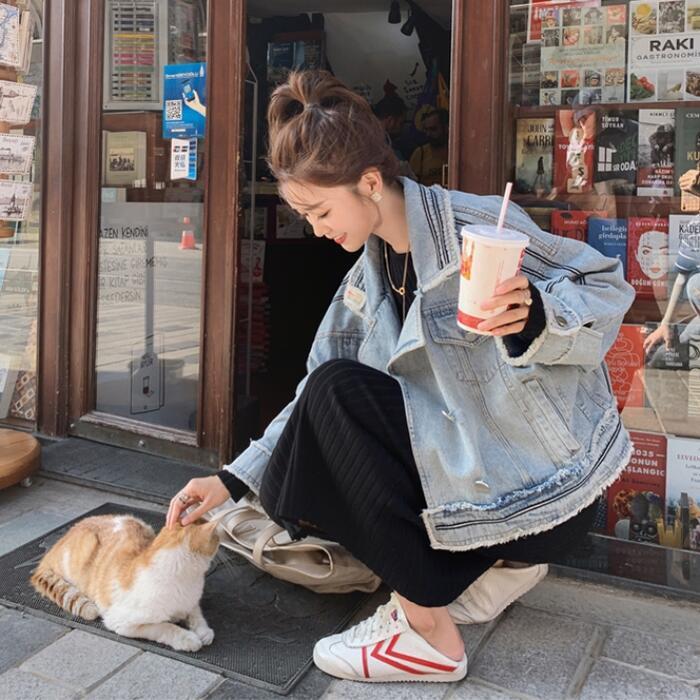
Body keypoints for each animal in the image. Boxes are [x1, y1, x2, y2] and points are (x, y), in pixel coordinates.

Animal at [30, 513, 220, 652]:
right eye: (217, 538)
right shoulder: (122, 622)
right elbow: (164, 627)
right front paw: (187, 638)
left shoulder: (191, 603)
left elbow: (196, 615)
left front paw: (203, 632)